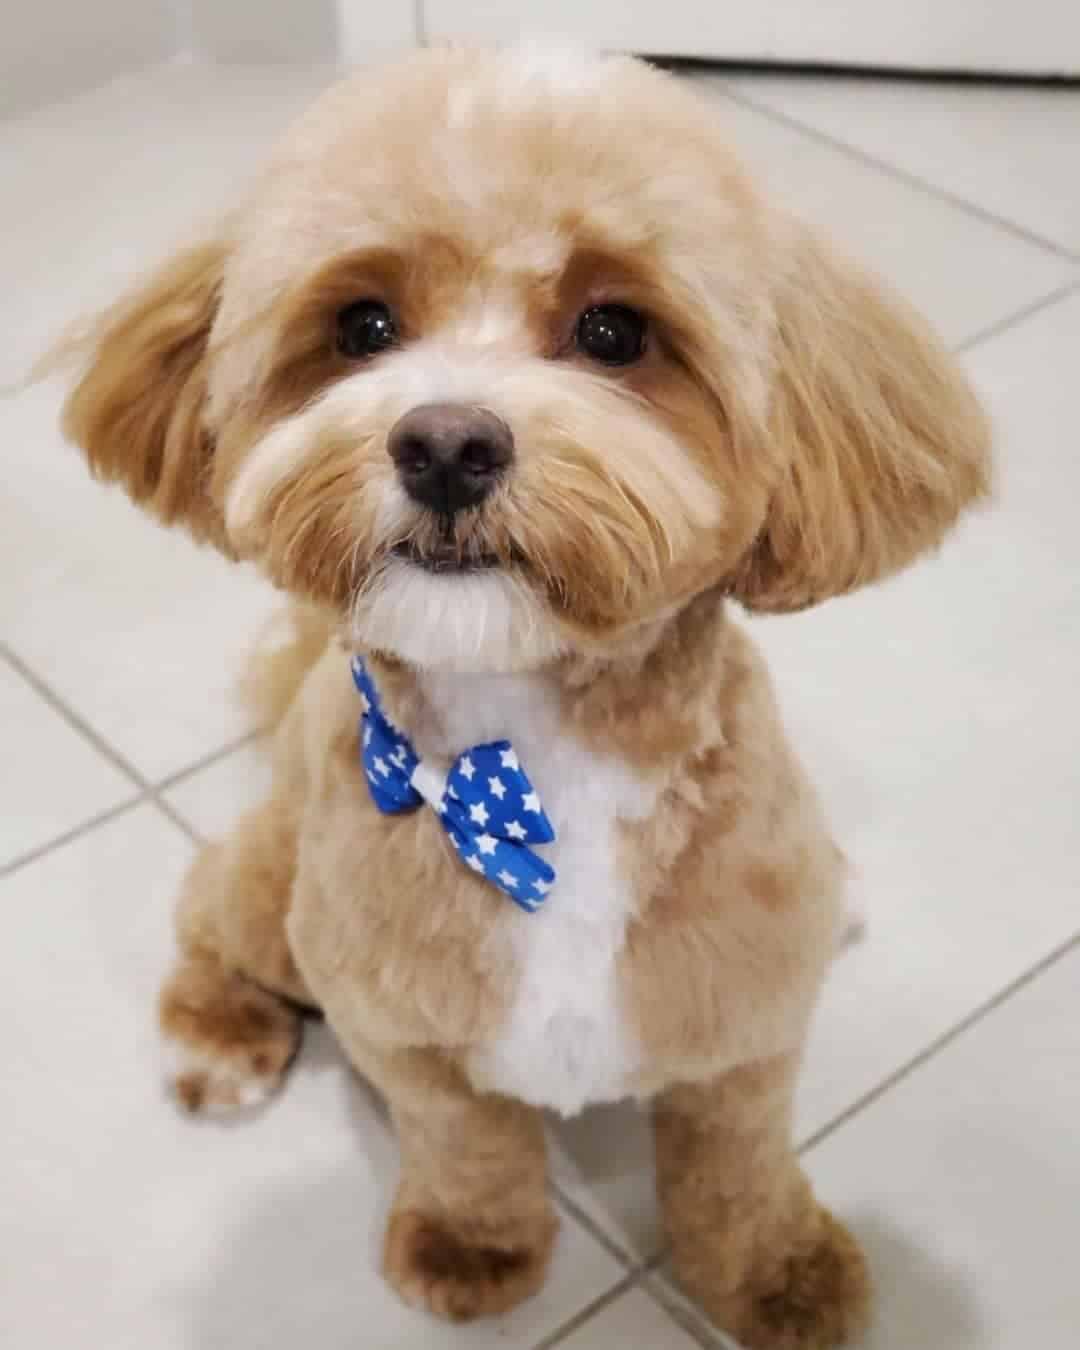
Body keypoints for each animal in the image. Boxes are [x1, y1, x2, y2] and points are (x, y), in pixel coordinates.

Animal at [57, 42, 988, 1350]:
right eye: (363, 324)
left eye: (613, 329)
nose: (445, 442)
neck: (533, 764)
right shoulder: (408, 1035)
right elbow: (468, 1152)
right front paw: (472, 1248)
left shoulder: (743, 1029)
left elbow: (740, 1171)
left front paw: (777, 1275)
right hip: (275, 883)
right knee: (210, 918)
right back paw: (225, 1042)